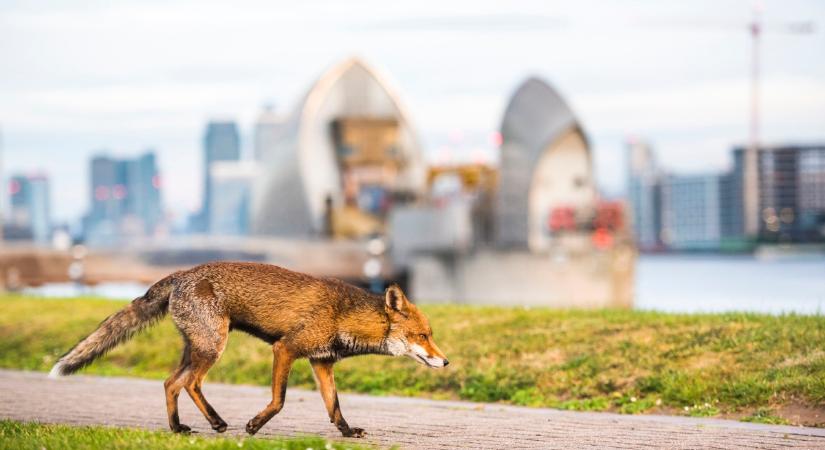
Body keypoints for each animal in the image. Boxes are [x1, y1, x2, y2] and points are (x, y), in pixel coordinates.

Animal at [48, 262, 448, 438]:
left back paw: (178, 428)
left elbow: (334, 407)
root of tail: (181, 274)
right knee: (189, 383)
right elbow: (280, 400)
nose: (445, 361)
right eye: (422, 335)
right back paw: (215, 423)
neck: (342, 316)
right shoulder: (286, 349)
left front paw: (347, 433)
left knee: (169, 383)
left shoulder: (322, 362)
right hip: (212, 348)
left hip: (196, 348)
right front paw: (255, 425)